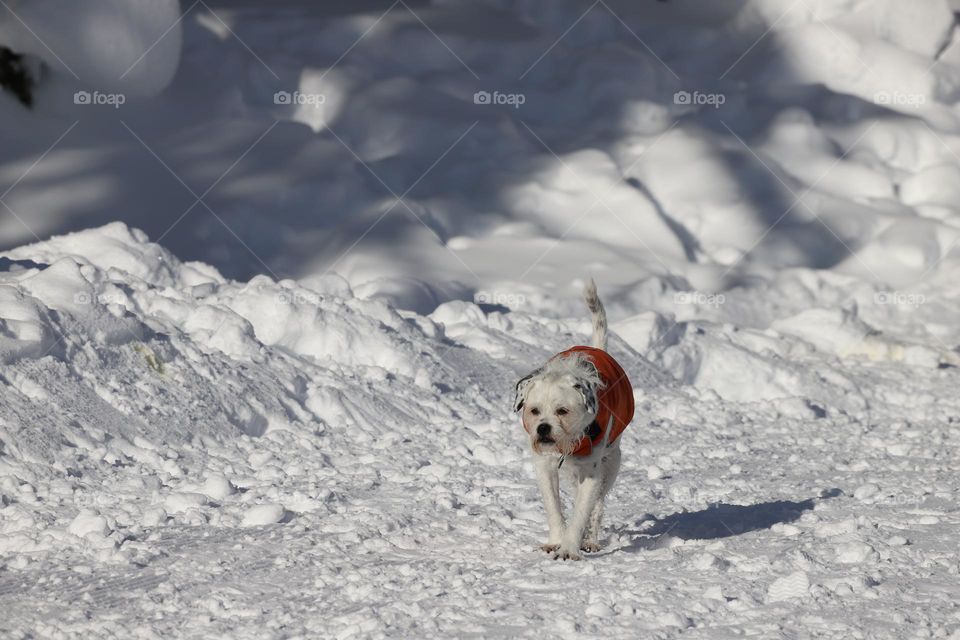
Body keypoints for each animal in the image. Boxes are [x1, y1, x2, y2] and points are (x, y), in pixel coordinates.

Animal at [512, 282, 632, 560]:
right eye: (534, 411)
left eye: (562, 410)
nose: (543, 428)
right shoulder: (545, 466)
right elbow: (554, 507)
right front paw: (556, 541)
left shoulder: (592, 472)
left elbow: (582, 511)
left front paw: (569, 548)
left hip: (612, 463)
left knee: (598, 505)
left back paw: (591, 540)